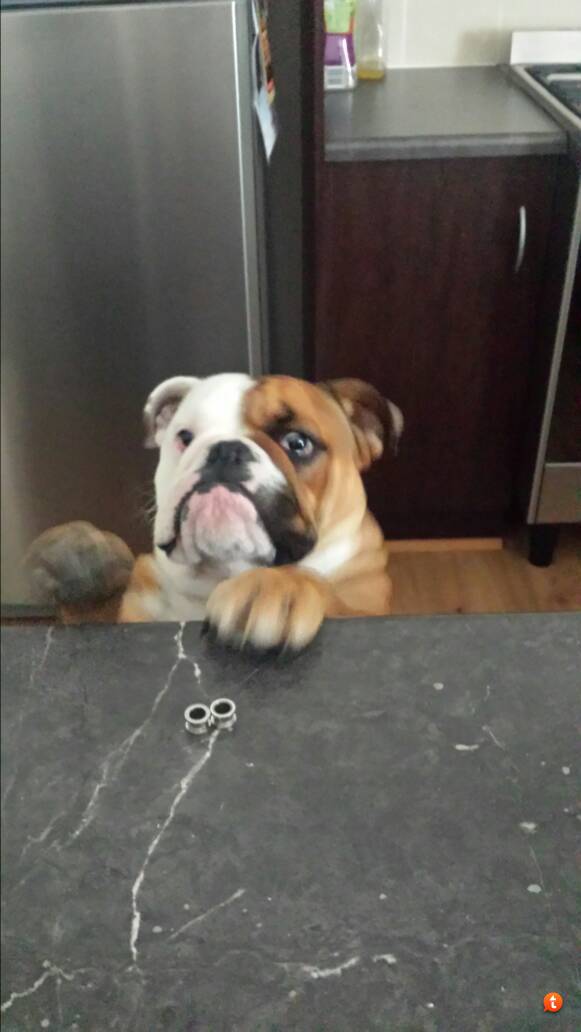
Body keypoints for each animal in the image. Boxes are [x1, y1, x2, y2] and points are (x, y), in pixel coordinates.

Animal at [26, 373, 403, 651]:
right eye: (185, 436)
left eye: (298, 442)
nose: (225, 449)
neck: (220, 573)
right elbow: (97, 613)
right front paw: (80, 554)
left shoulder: (370, 606)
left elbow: (339, 602)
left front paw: (278, 588)